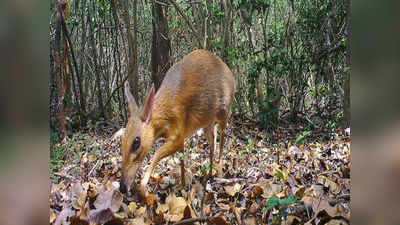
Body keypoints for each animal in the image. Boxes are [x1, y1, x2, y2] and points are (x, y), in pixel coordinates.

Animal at [120, 49, 236, 199]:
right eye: (122, 140)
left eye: (136, 142)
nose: (122, 187)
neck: (165, 114)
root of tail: (230, 72)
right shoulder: (181, 136)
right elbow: (181, 159)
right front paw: (182, 185)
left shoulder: (178, 133)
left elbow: (157, 153)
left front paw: (142, 188)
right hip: (207, 123)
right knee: (212, 143)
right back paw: (210, 174)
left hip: (224, 112)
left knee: (222, 139)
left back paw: (220, 174)